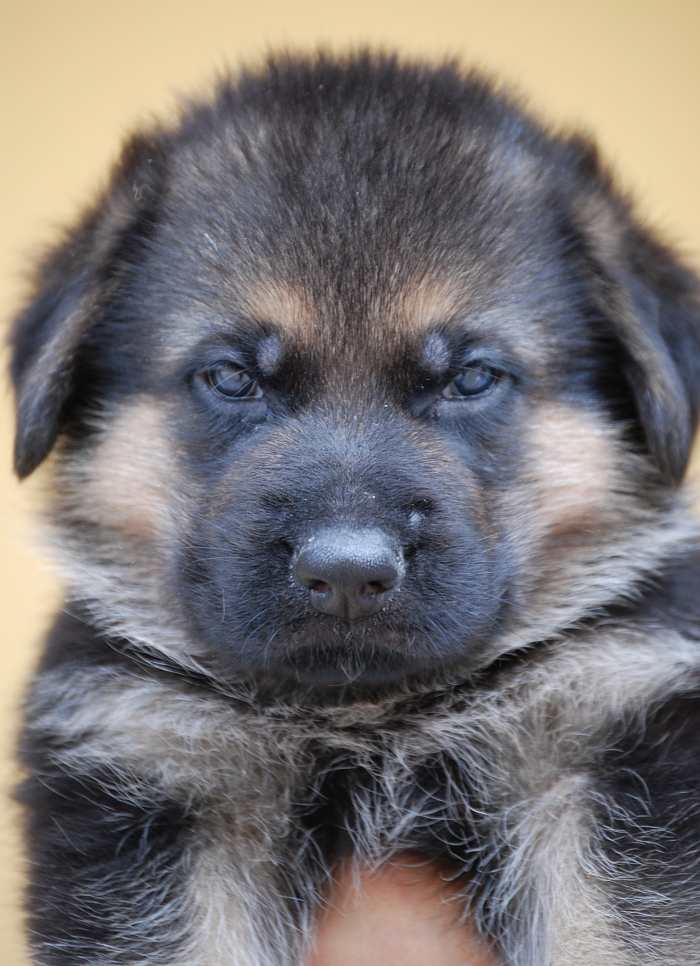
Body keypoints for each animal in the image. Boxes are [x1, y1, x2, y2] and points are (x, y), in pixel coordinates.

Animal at [9, 54, 700, 966]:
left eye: (471, 377)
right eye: (231, 377)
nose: (345, 572)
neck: (370, 717)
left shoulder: (599, 744)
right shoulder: (157, 775)